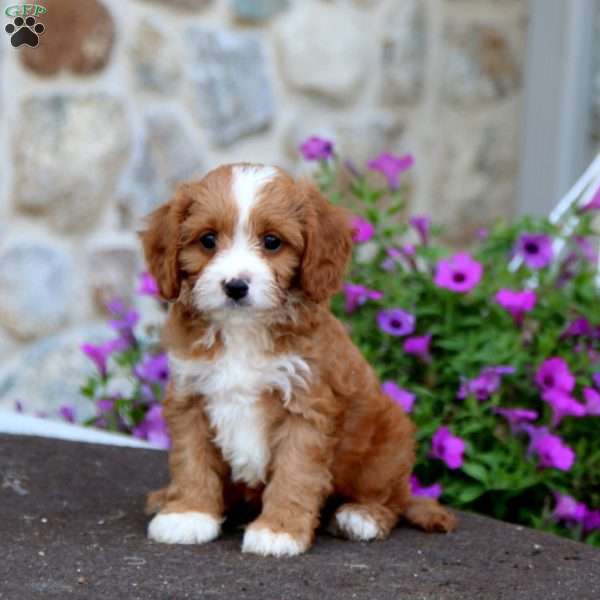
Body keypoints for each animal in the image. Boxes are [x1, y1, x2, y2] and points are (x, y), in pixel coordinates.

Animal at [138, 162, 454, 556]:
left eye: (272, 242)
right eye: (207, 240)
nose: (235, 286)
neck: (243, 329)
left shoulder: (306, 407)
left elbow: (295, 473)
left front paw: (279, 531)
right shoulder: (190, 397)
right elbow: (190, 459)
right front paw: (188, 513)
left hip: (388, 441)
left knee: (392, 498)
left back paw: (361, 516)